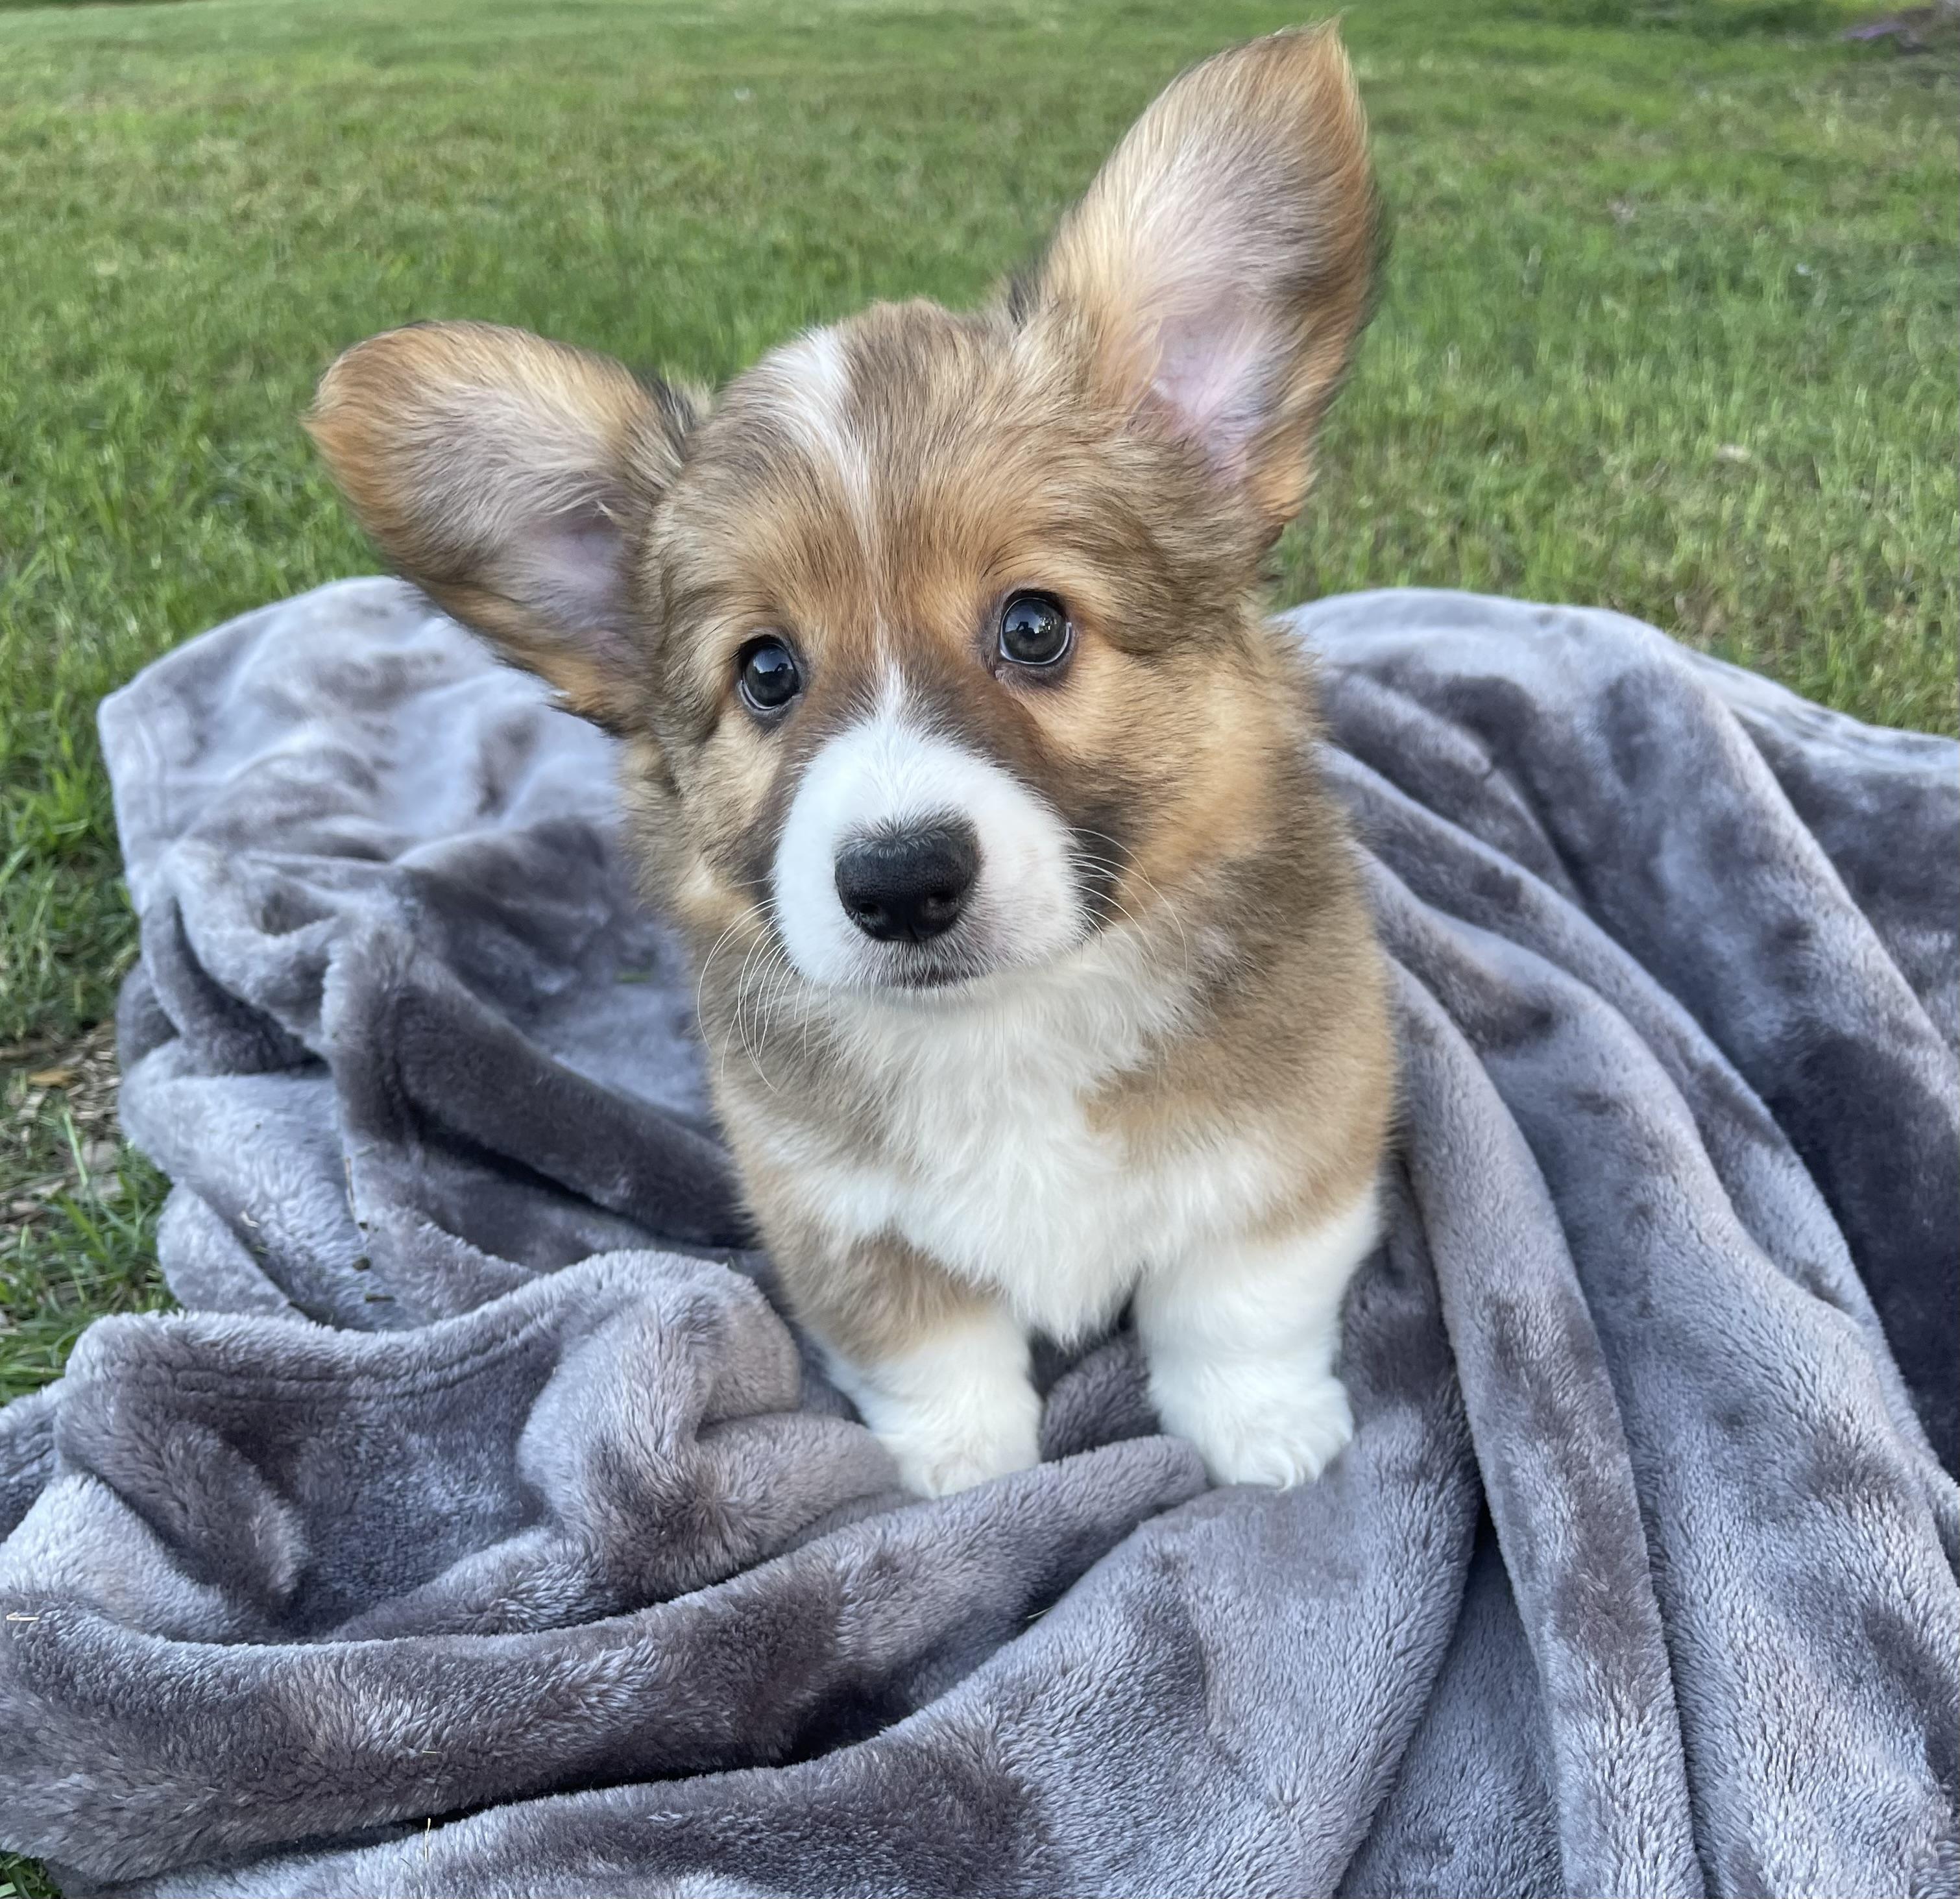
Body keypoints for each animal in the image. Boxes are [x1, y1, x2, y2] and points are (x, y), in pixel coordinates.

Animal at [307, 23, 1394, 1497]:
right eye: (767, 671)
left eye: (1034, 624)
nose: (900, 883)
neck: (1003, 1023)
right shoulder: (834, 1216)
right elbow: (933, 1351)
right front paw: (967, 1479)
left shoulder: (1297, 1142)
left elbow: (1235, 1304)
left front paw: (1264, 1433)